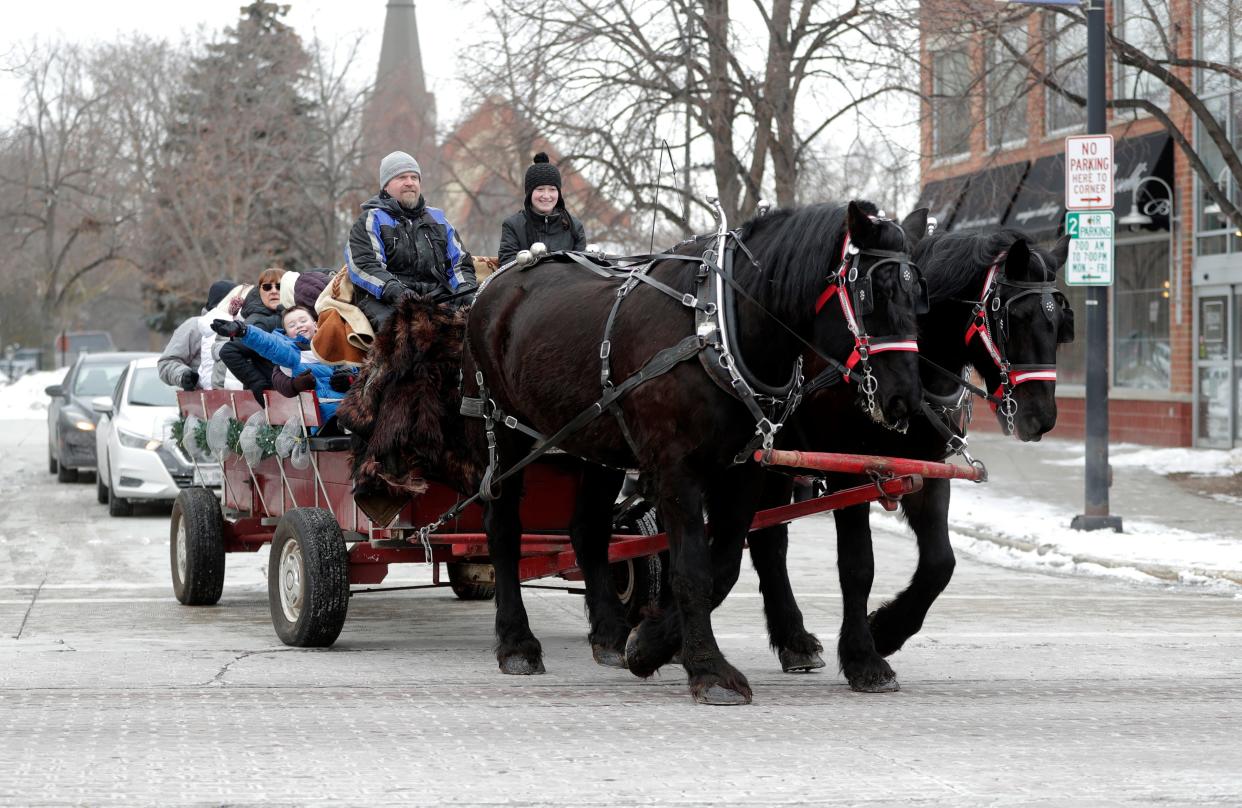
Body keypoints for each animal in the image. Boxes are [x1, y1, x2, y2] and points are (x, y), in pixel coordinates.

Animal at [466, 203, 933, 709]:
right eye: (872, 292)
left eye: (918, 295)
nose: (905, 398)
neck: (719, 330)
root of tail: (497, 282)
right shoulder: (677, 471)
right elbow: (693, 570)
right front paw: (710, 671)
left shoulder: (742, 471)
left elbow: (723, 566)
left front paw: (647, 646)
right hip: (505, 428)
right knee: (503, 529)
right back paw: (517, 642)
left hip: (592, 438)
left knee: (588, 531)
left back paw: (610, 635)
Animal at [745, 230, 1078, 690]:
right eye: (1016, 316)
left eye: (1060, 323)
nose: (1041, 417)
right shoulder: (851, 472)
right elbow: (857, 566)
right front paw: (865, 659)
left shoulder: (927, 470)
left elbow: (940, 563)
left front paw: (885, 631)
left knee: (768, 542)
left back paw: (793, 640)